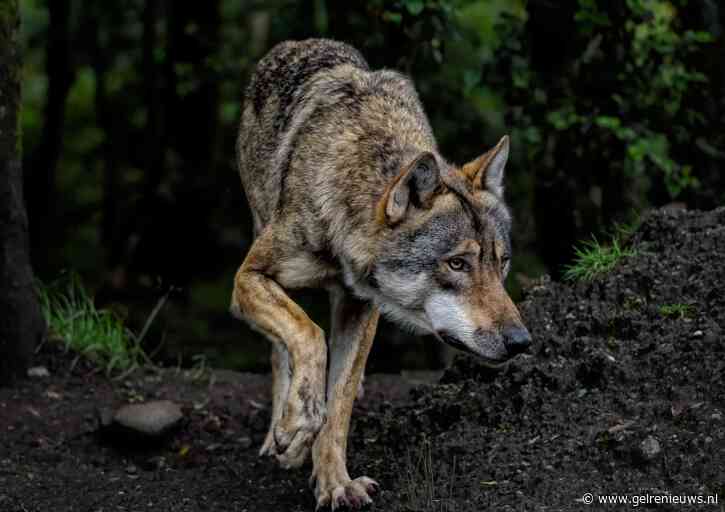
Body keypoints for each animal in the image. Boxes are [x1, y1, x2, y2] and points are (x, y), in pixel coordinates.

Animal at [230, 39, 532, 509]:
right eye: (457, 264)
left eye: (500, 263)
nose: (521, 342)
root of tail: (294, 45)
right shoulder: (248, 277)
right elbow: (308, 335)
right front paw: (297, 424)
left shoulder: (361, 308)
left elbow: (339, 403)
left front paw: (335, 483)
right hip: (258, 235)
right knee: (281, 350)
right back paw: (282, 431)